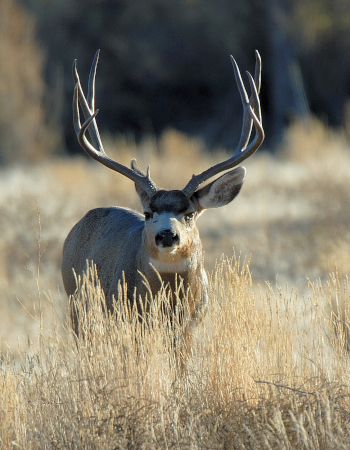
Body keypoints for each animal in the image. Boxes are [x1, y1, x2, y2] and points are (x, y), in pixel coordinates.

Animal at [60, 49, 262, 342]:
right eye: (147, 213)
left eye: (189, 213)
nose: (167, 235)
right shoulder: (129, 318)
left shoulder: (191, 326)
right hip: (76, 301)